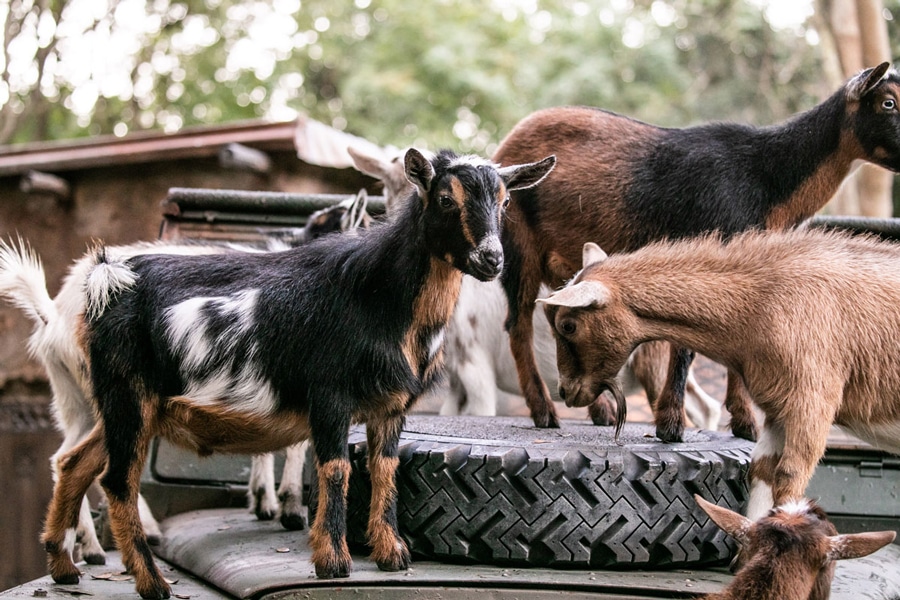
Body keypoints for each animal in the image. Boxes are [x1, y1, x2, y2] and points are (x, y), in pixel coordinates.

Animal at [0, 194, 370, 565]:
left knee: (65, 456)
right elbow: (295, 444)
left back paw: (89, 545)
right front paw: (288, 508)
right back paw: (133, 534)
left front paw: (263, 501)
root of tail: (53, 316)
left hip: (76, 398)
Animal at [40, 149, 555, 599]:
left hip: (125, 405)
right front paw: (333, 560)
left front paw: (392, 555)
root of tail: (107, 277)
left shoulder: (390, 407)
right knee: (117, 481)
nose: (491, 260)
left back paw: (64, 566)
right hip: (127, 393)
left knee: (75, 462)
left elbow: (385, 467)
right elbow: (335, 467)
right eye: (446, 198)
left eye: (505, 201)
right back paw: (152, 583)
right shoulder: (329, 394)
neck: (376, 296)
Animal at [493, 62, 900, 441]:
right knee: (518, 325)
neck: (765, 177)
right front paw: (672, 426)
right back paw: (545, 411)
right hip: (518, 246)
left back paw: (600, 411)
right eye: (888, 102)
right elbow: (685, 347)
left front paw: (744, 425)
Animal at [539, 229, 900, 522]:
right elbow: (762, 474)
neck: (760, 298)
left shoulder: (812, 400)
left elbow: (790, 477)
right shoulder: (777, 409)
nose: (566, 391)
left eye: (568, 325)